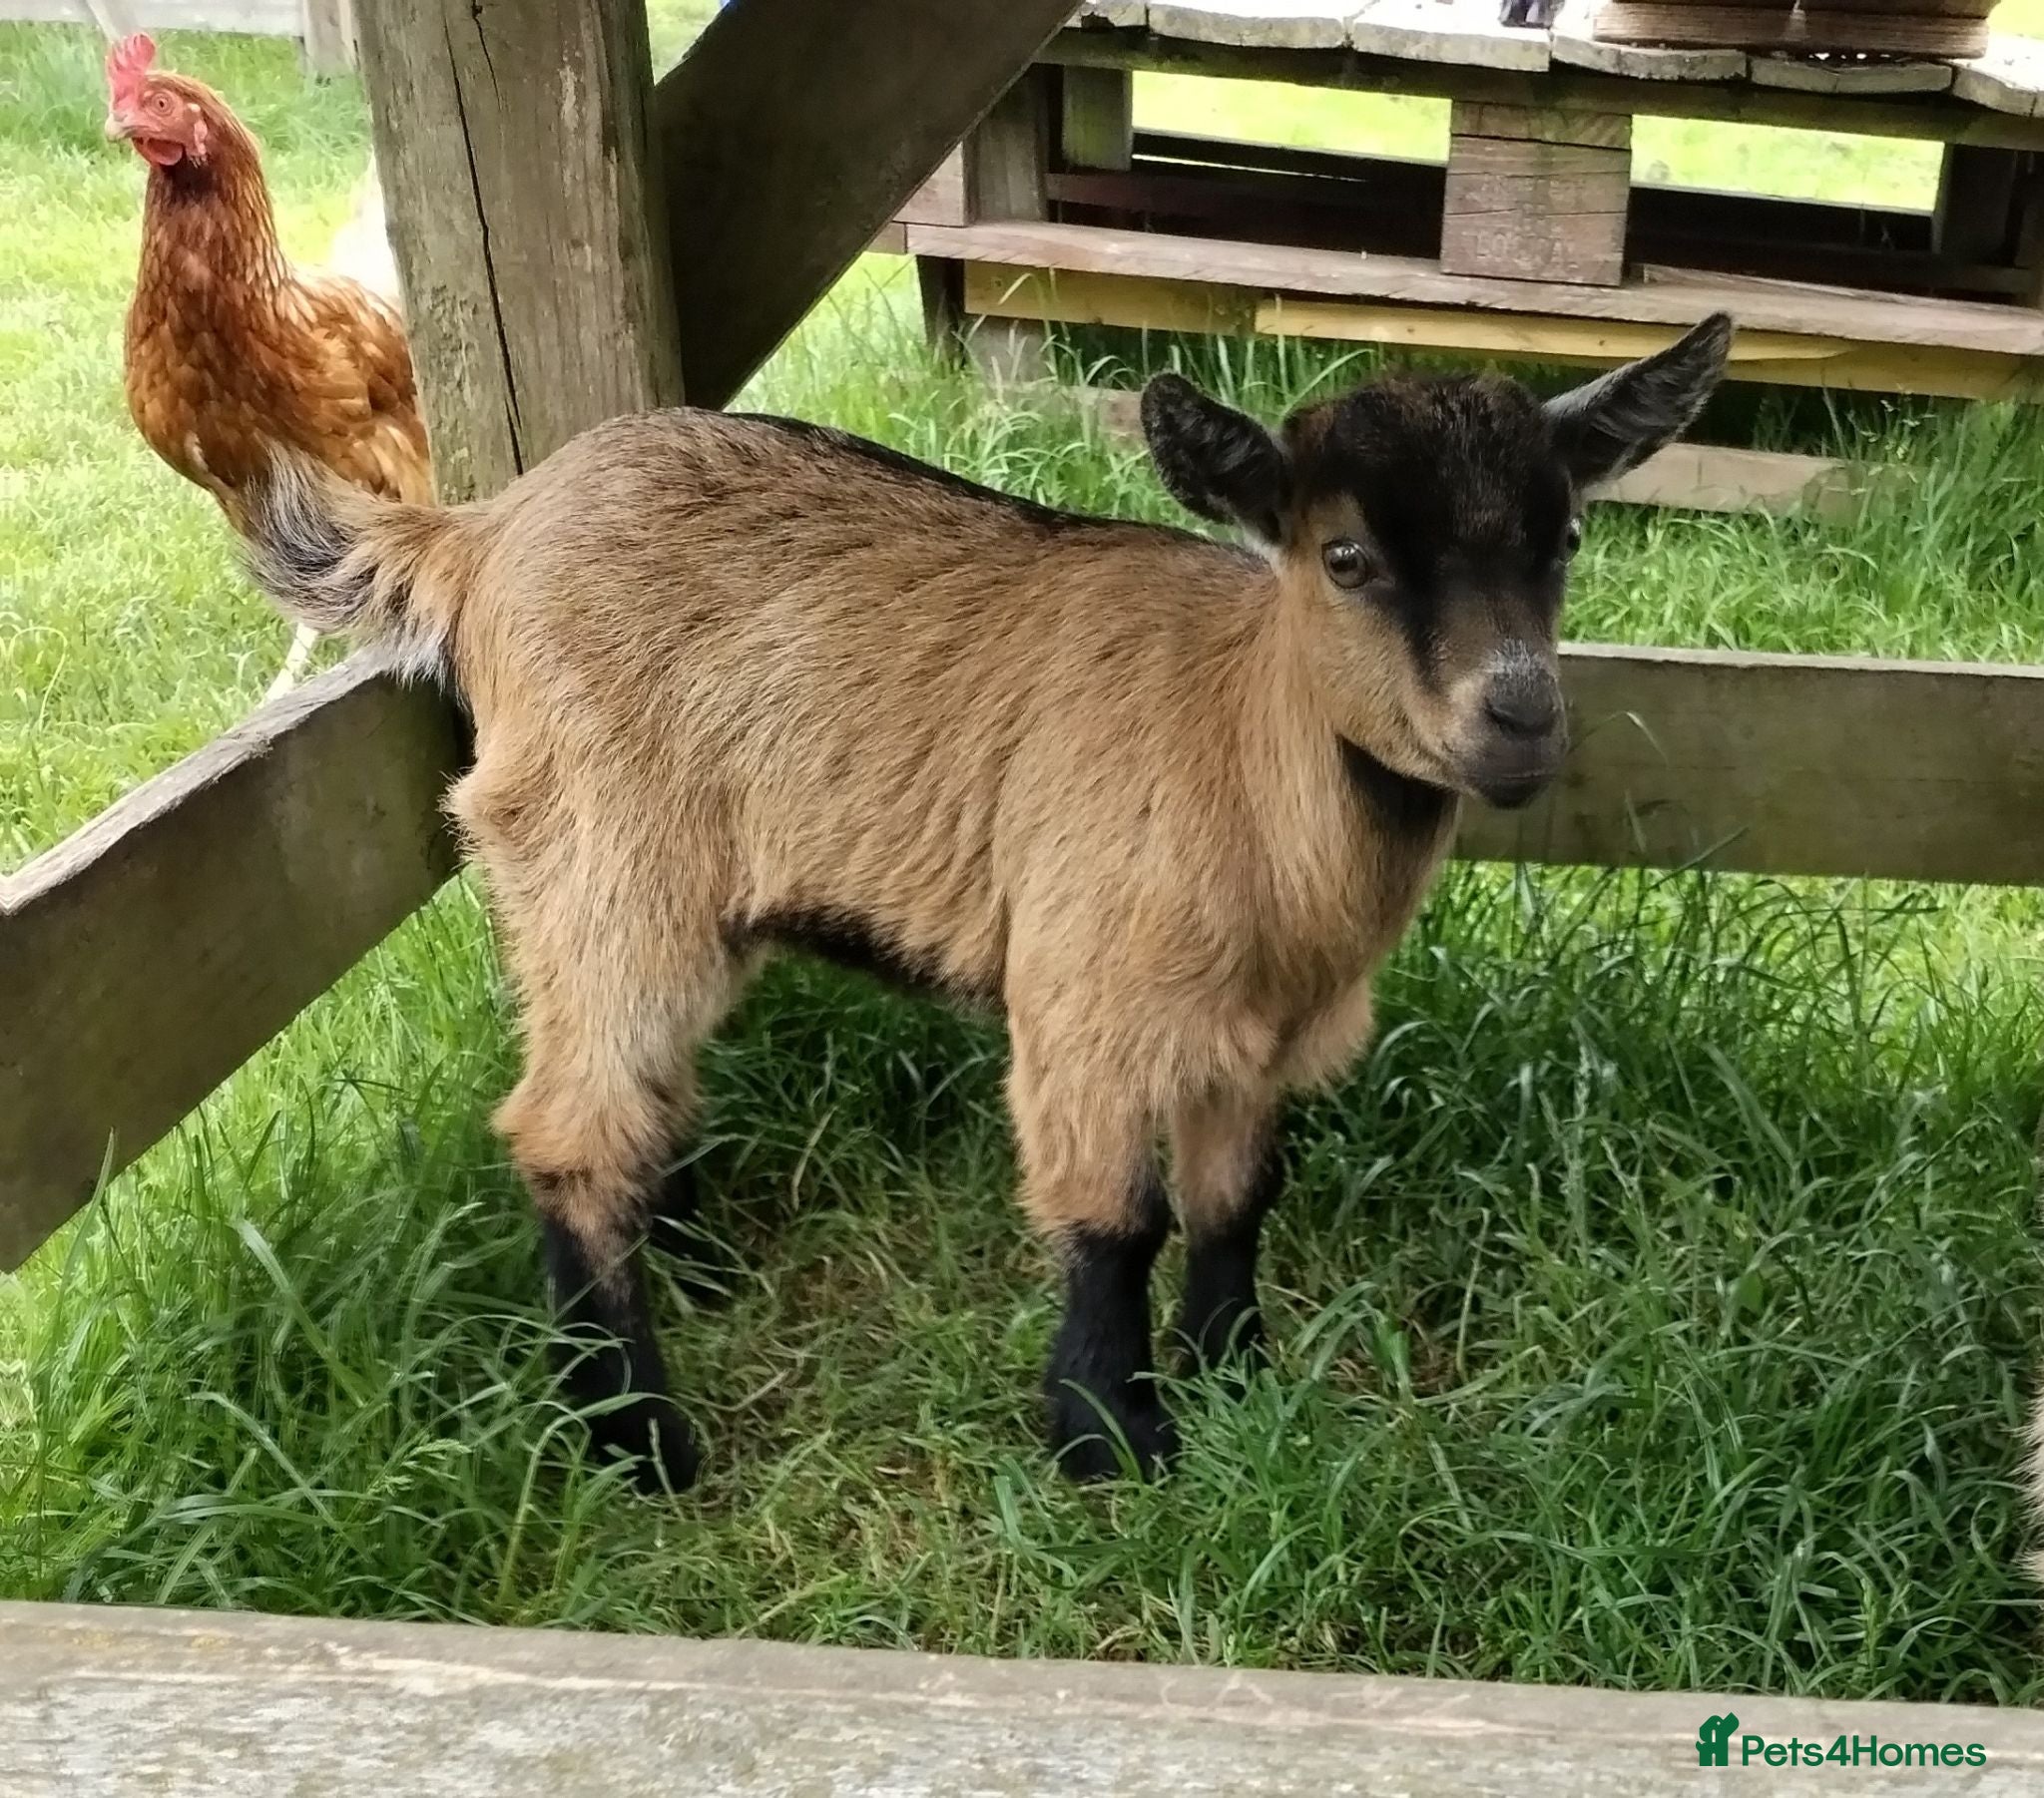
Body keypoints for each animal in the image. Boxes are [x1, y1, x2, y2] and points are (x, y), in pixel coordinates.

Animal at [242, 314, 1733, 1491]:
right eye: (1347, 556)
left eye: (1567, 536)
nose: (1521, 717)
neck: (1243, 749)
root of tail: (478, 534)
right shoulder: (1083, 999)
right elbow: (1115, 1219)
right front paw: (1108, 1436)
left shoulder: (1255, 1034)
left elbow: (1237, 1197)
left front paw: (1234, 1376)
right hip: (602, 852)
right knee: (564, 1123)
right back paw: (635, 1436)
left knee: (623, 1081)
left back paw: (689, 1263)